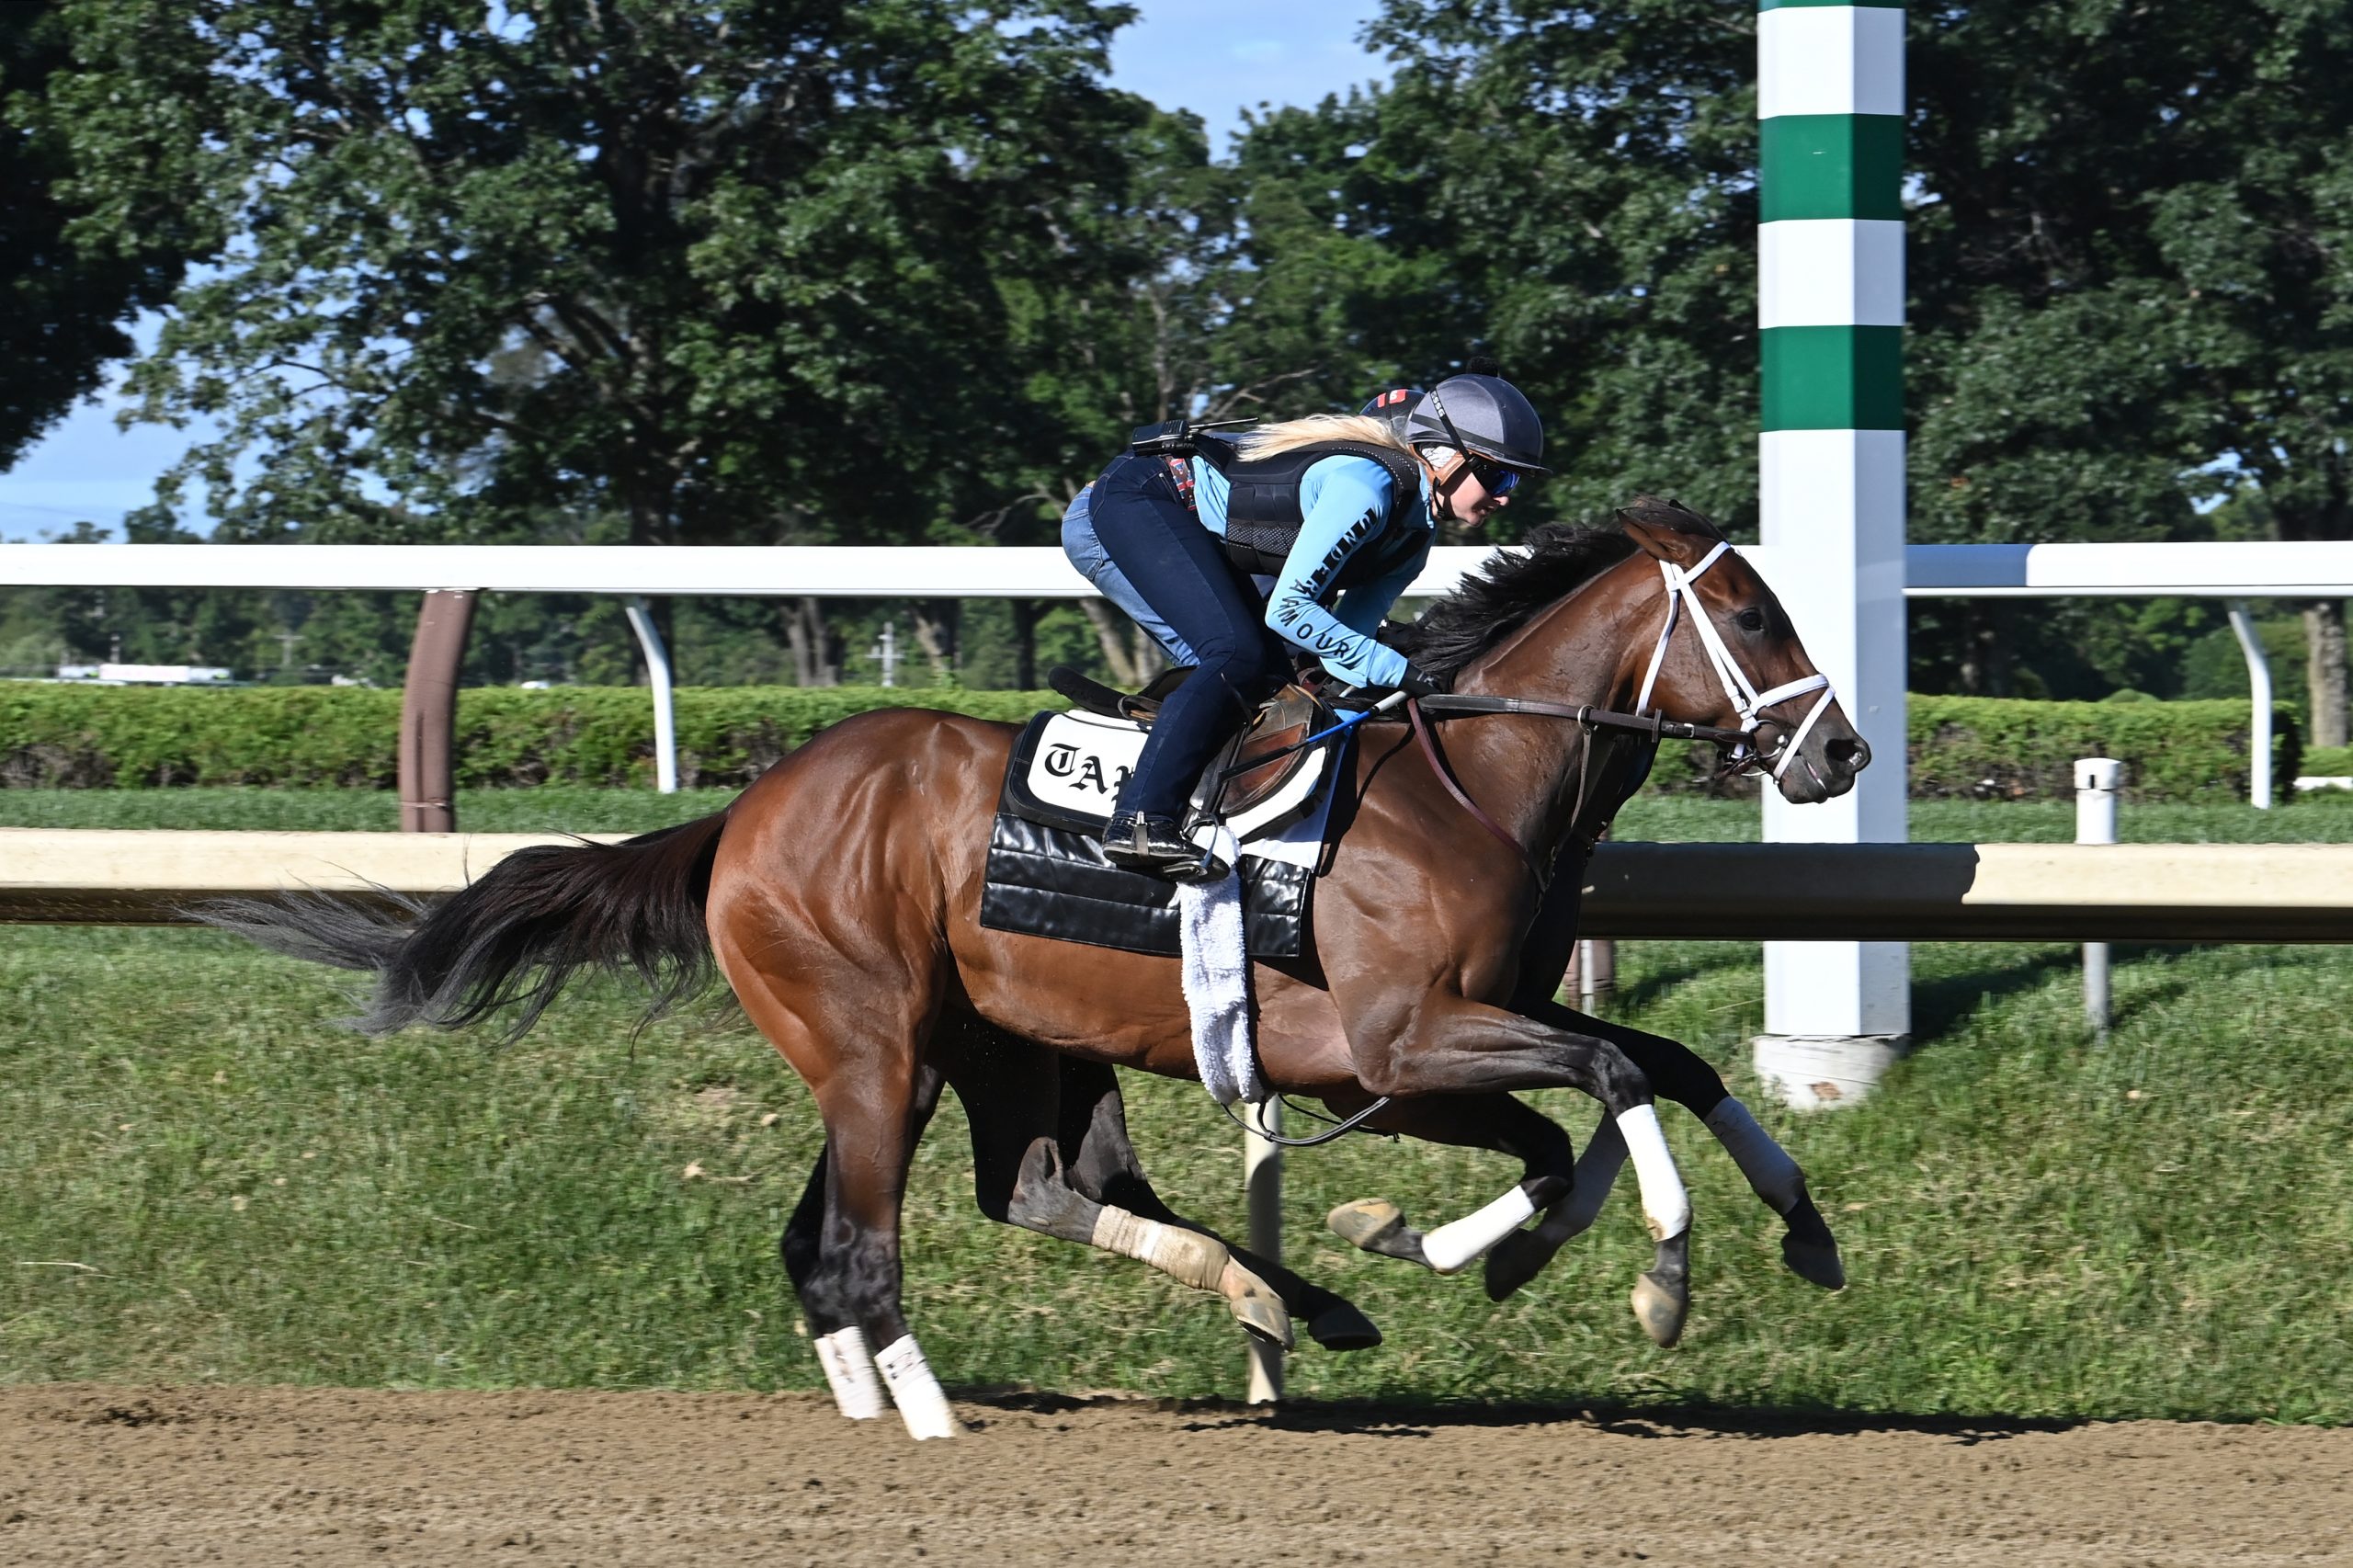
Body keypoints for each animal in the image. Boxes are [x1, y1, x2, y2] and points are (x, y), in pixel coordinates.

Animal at [224, 496, 1872, 1431]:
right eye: (1749, 613)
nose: (1841, 752)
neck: (1457, 784)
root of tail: (744, 810)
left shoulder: (1458, 1035)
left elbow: (1648, 1073)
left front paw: (1787, 1231)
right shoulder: (1397, 1049)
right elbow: (1601, 1083)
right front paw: (1654, 1274)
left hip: (975, 1047)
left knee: (979, 1198)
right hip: (874, 1045)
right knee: (865, 1243)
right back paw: (937, 1423)